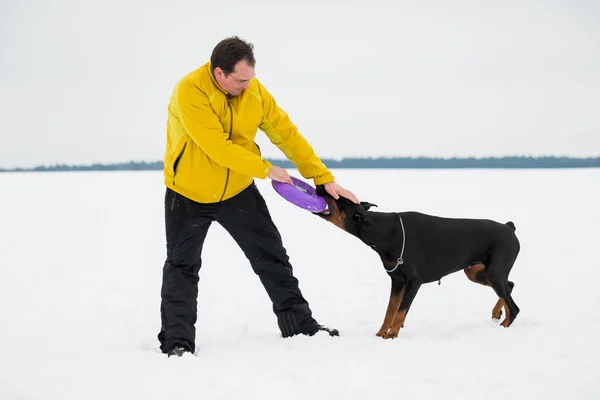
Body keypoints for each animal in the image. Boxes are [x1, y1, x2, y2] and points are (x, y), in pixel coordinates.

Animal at [314, 184, 520, 338]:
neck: (386, 233)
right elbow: (390, 310)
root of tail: (509, 228)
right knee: (509, 285)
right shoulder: (397, 281)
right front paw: (381, 334)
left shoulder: (414, 282)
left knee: (514, 307)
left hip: (493, 271)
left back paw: (501, 328)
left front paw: (392, 335)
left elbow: (400, 311)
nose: (320, 186)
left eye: (338, 199)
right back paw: (497, 312)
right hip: (475, 272)